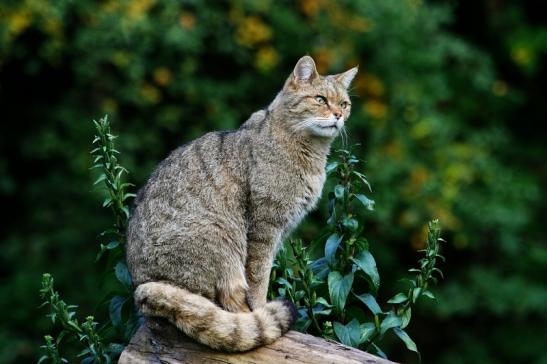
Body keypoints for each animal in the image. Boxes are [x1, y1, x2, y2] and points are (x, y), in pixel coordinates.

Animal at [126, 55, 358, 352]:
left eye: (344, 104)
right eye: (320, 99)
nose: (339, 115)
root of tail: (141, 286)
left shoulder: (280, 231)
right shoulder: (265, 228)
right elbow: (259, 278)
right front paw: (261, 308)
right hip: (222, 242)